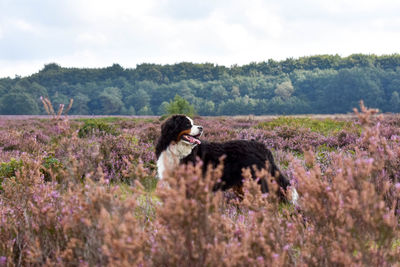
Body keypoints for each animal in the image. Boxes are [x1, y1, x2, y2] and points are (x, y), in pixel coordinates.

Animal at [155, 114, 296, 204]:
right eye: (187, 124)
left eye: (193, 123)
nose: (201, 128)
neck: (178, 151)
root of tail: (262, 146)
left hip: (257, 180)